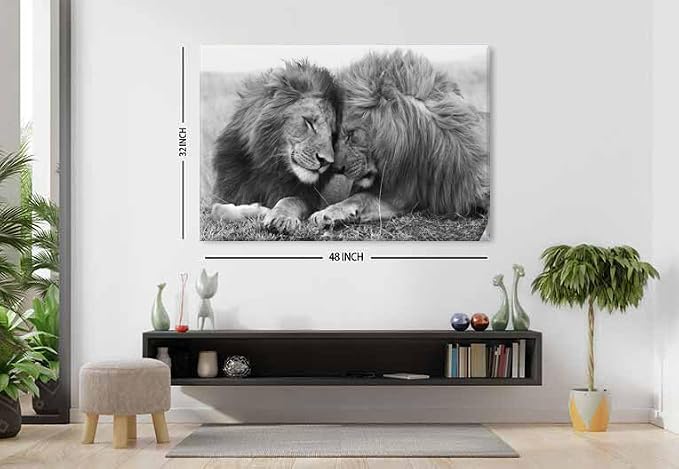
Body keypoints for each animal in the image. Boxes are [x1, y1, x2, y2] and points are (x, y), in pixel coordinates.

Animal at [211, 60, 342, 233]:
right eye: (309, 122)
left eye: (332, 134)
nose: (326, 161)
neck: (269, 166)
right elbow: (216, 209)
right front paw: (261, 210)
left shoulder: (310, 198)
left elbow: (290, 200)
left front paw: (280, 217)